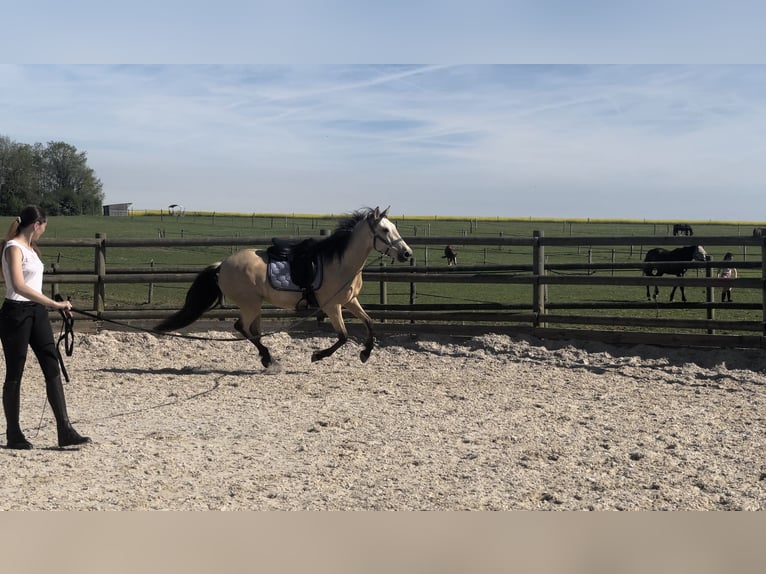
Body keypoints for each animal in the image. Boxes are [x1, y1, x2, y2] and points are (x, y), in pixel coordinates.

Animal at [152, 208, 412, 368]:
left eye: (394, 227)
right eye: (385, 230)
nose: (407, 253)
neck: (340, 262)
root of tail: (222, 265)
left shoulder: (349, 301)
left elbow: (369, 323)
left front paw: (365, 354)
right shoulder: (332, 306)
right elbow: (343, 336)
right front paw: (317, 356)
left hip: (255, 304)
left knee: (252, 330)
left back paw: (267, 358)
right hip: (250, 303)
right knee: (242, 327)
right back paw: (268, 358)